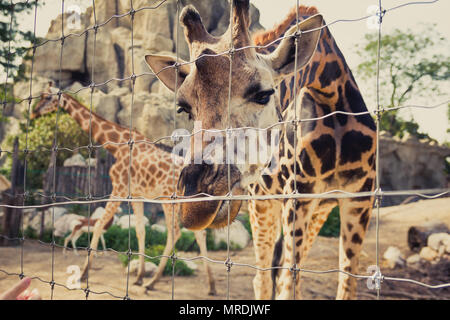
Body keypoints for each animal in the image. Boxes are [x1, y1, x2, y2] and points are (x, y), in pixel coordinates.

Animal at [32, 85, 217, 296]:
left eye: (47, 97)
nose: (34, 112)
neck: (116, 146)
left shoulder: (119, 188)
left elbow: (98, 224)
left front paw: (84, 273)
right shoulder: (136, 195)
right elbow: (140, 231)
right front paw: (138, 276)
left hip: (169, 200)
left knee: (175, 232)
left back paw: (152, 282)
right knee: (198, 233)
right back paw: (210, 286)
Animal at [145, 1, 376, 300]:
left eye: (263, 94)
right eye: (184, 109)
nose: (194, 206)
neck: (332, 102)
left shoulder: (358, 199)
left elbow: (344, 285)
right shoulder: (294, 199)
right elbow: (285, 283)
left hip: (314, 208)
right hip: (264, 203)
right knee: (264, 278)